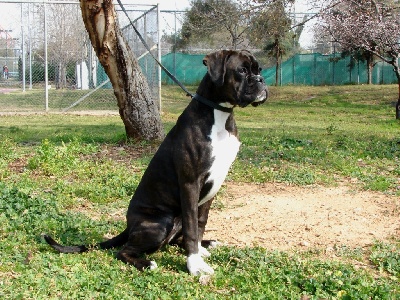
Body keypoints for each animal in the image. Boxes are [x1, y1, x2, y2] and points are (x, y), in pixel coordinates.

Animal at [43, 48, 268, 274]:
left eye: (259, 69)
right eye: (241, 70)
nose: (261, 80)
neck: (219, 115)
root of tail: (129, 227)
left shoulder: (213, 186)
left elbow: (200, 222)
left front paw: (199, 252)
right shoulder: (190, 184)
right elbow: (192, 227)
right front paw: (194, 265)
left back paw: (206, 244)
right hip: (160, 223)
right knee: (123, 251)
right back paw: (146, 263)